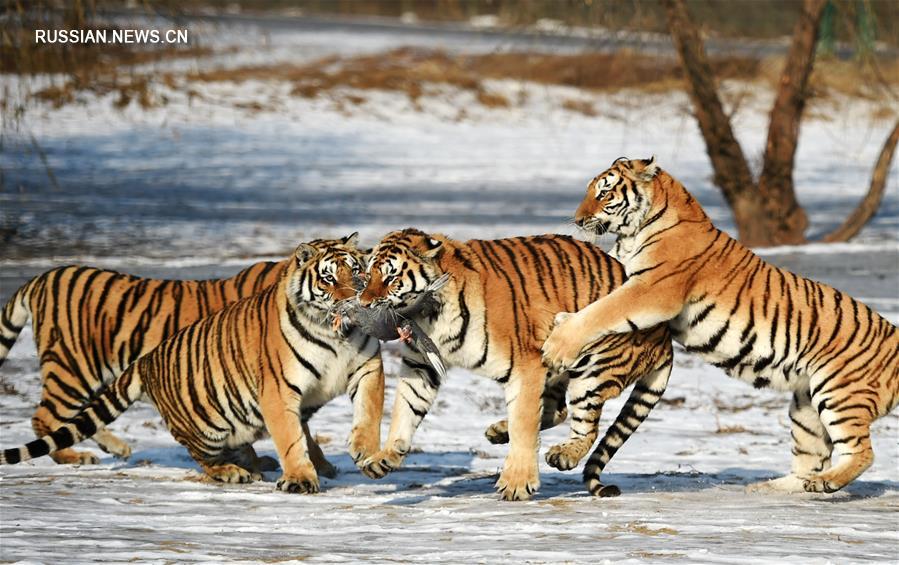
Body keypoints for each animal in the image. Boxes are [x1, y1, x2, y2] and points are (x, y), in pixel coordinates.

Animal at [0, 236, 384, 492]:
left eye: (358, 272)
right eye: (329, 278)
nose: (356, 299)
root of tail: (42, 278)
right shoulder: (273, 381)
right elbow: (294, 432)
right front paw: (308, 468)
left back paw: (116, 447)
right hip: (74, 370)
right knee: (45, 418)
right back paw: (76, 457)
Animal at [356, 227, 672, 500]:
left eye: (391, 278)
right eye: (367, 275)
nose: (363, 303)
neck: (431, 315)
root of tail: (666, 336)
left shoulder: (526, 365)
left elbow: (524, 422)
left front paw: (517, 484)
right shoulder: (421, 364)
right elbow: (405, 407)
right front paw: (385, 458)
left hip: (591, 370)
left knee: (585, 426)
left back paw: (562, 455)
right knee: (557, 411)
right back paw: (498, 431)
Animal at [540, 155, 899, 494]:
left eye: (604, 192)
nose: (577, 220)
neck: (636, 230)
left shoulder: (652, 290)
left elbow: (602, 311)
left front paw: (558, 343)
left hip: (839, 394)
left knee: (862, 452)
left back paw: (825, 483)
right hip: (806, 405)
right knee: (811, 458)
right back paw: (771, 487)